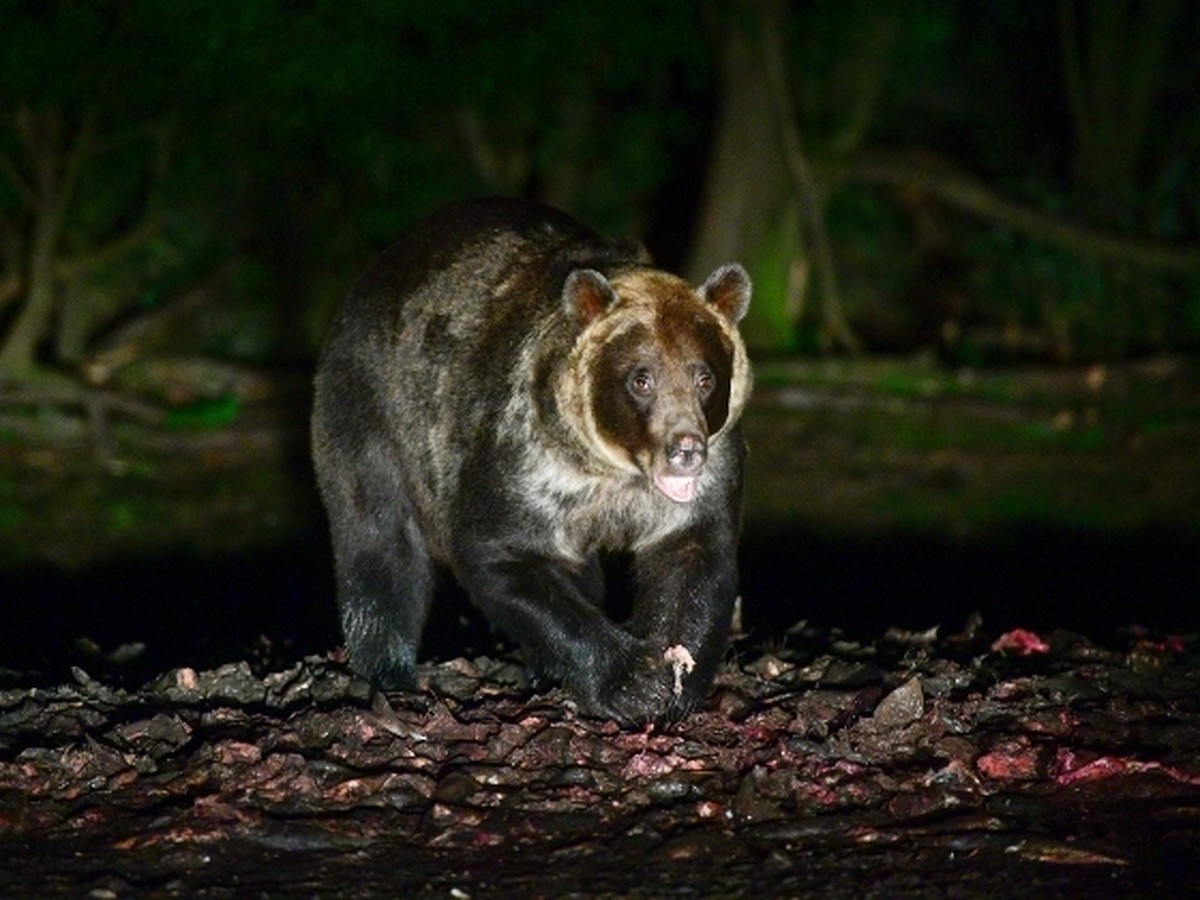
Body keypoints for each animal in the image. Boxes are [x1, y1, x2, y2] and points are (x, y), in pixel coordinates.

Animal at [314, 199, 753, 724]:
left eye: (704, 377)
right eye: (641, 379)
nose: (685, 450)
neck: (611, 472)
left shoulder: (705, 477)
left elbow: (693, 558)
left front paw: (676, 677)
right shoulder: (526, 463)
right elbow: (505, 556)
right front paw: (633, 681)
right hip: (372, 412)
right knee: (379, 543)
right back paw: (387, 671)